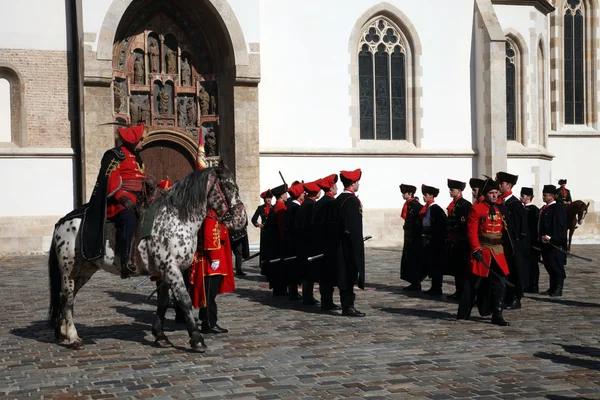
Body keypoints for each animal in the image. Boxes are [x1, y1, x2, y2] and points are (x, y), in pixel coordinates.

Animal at [48, 161, 247, 352]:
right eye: (230, 186)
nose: (241, 220)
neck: (176, 219)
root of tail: (62, 222)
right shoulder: (172, 269)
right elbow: (184, 300)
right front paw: (197, 340)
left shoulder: (165, 273)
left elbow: (163, 302)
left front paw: (160, 336)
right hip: (68, 270)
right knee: (67, 298)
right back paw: (73, 338)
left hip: (84, 270)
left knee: (67, 297)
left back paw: (64, 333)